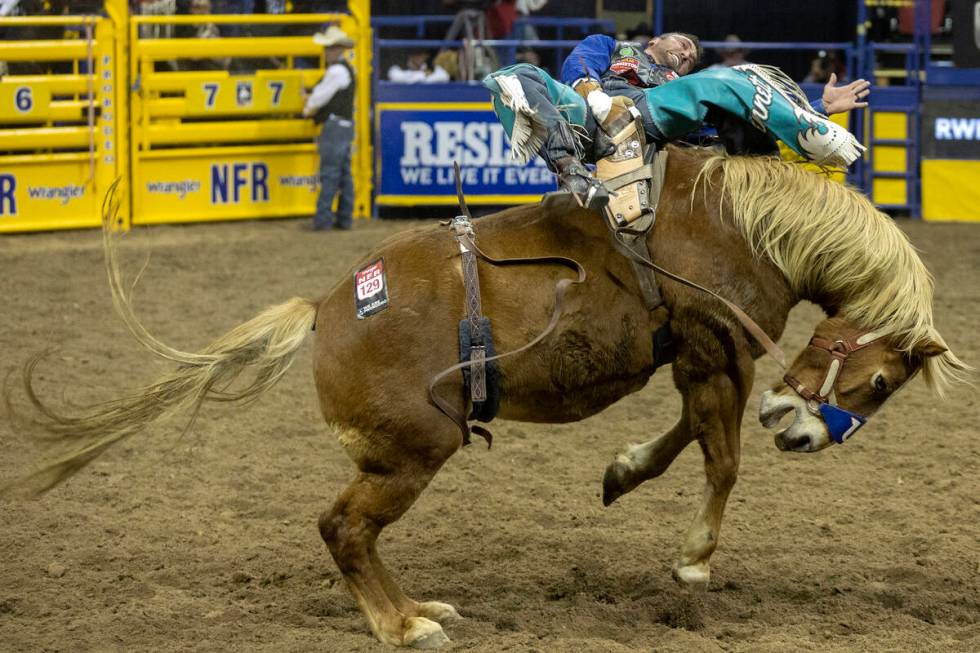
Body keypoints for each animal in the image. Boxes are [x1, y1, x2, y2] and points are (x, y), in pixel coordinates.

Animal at [0, 144, 968, 648]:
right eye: (880, 379)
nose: (804, 435)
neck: (741, 223)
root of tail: (324, 309)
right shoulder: (713, 354)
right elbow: (720, 456)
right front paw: (694, 560)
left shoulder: (695, 365)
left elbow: (679, 442)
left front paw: (620, 471)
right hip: (414, 450)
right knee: (342, 527)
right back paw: (401, 625)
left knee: (353, 532)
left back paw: (420, 607)